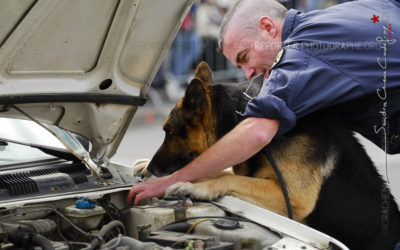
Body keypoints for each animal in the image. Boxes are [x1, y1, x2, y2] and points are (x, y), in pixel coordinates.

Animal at [137, 62, 400, 250]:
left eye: (168, 131)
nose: (153, 167)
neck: (243, 114)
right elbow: (217, 168)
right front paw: (144, 166)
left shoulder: (292, 196)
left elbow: (229, 177)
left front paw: (194, 187)